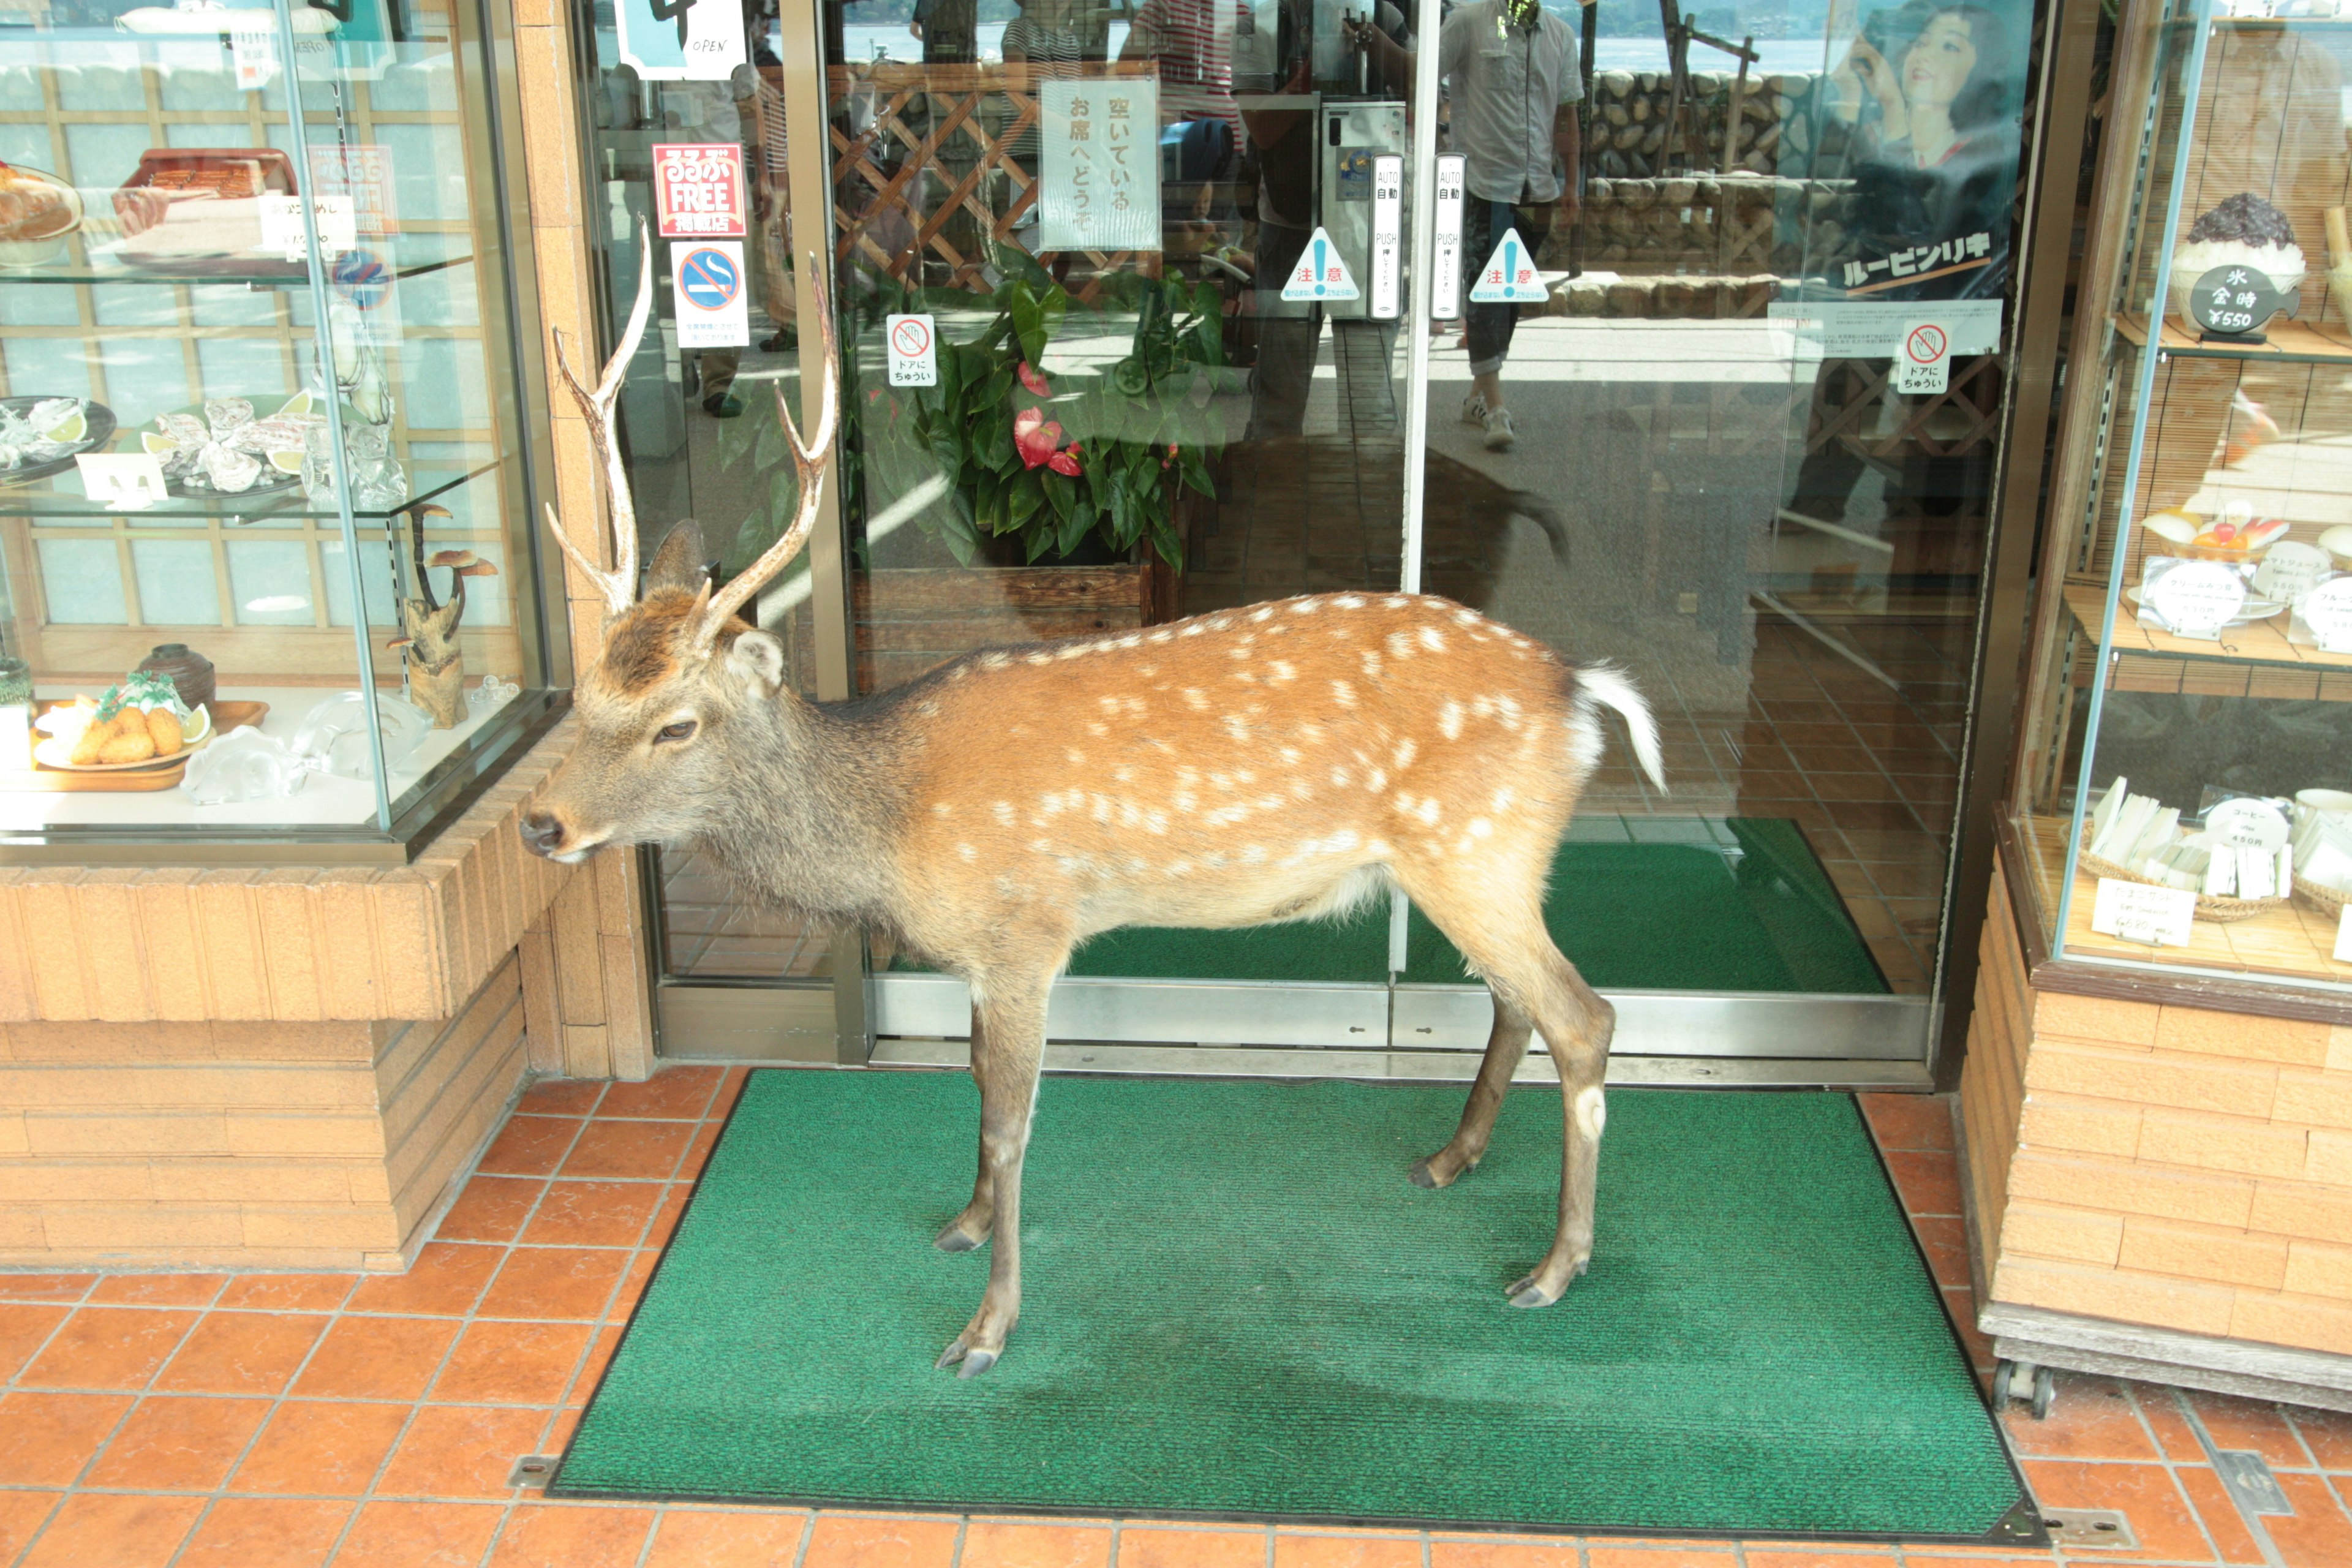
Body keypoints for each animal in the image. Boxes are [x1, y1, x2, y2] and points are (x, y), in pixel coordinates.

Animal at [517, 230, 1665, 1373]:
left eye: (676, 725)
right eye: (581, 692)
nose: (539, 822)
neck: (897, 822)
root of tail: (1580, 690)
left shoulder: (1027, 928)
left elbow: (1012, 1121)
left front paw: (986, 1326)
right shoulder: (983, 956)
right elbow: (976, 1081)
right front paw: (966, 1220)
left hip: (1476, 848)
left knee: (1587, 1015)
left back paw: (1555, 1266)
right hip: (1477, 866)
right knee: (1517, 1000)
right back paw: (1450, 1159)